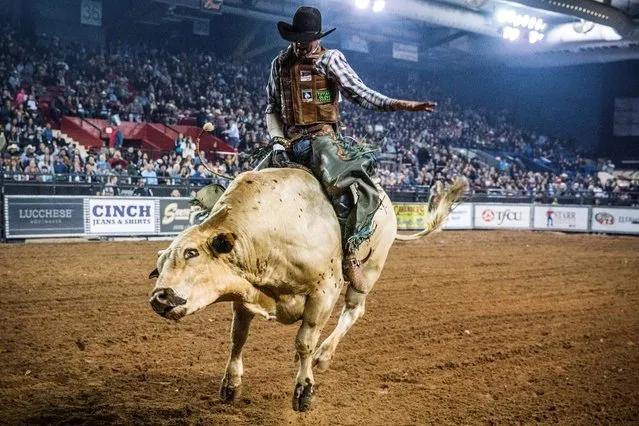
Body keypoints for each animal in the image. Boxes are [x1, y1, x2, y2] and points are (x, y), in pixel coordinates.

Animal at [148, 168, 462, 412]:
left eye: (191, 253)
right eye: (160, 264)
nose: (159, 297)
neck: (272, 228)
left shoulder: (324, 291)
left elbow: (305, 342)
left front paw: (304, 390)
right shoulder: (244, 293)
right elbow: (238, 337)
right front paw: (231, 385)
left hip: (370, 271)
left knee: (353, 312)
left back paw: (323, 356)